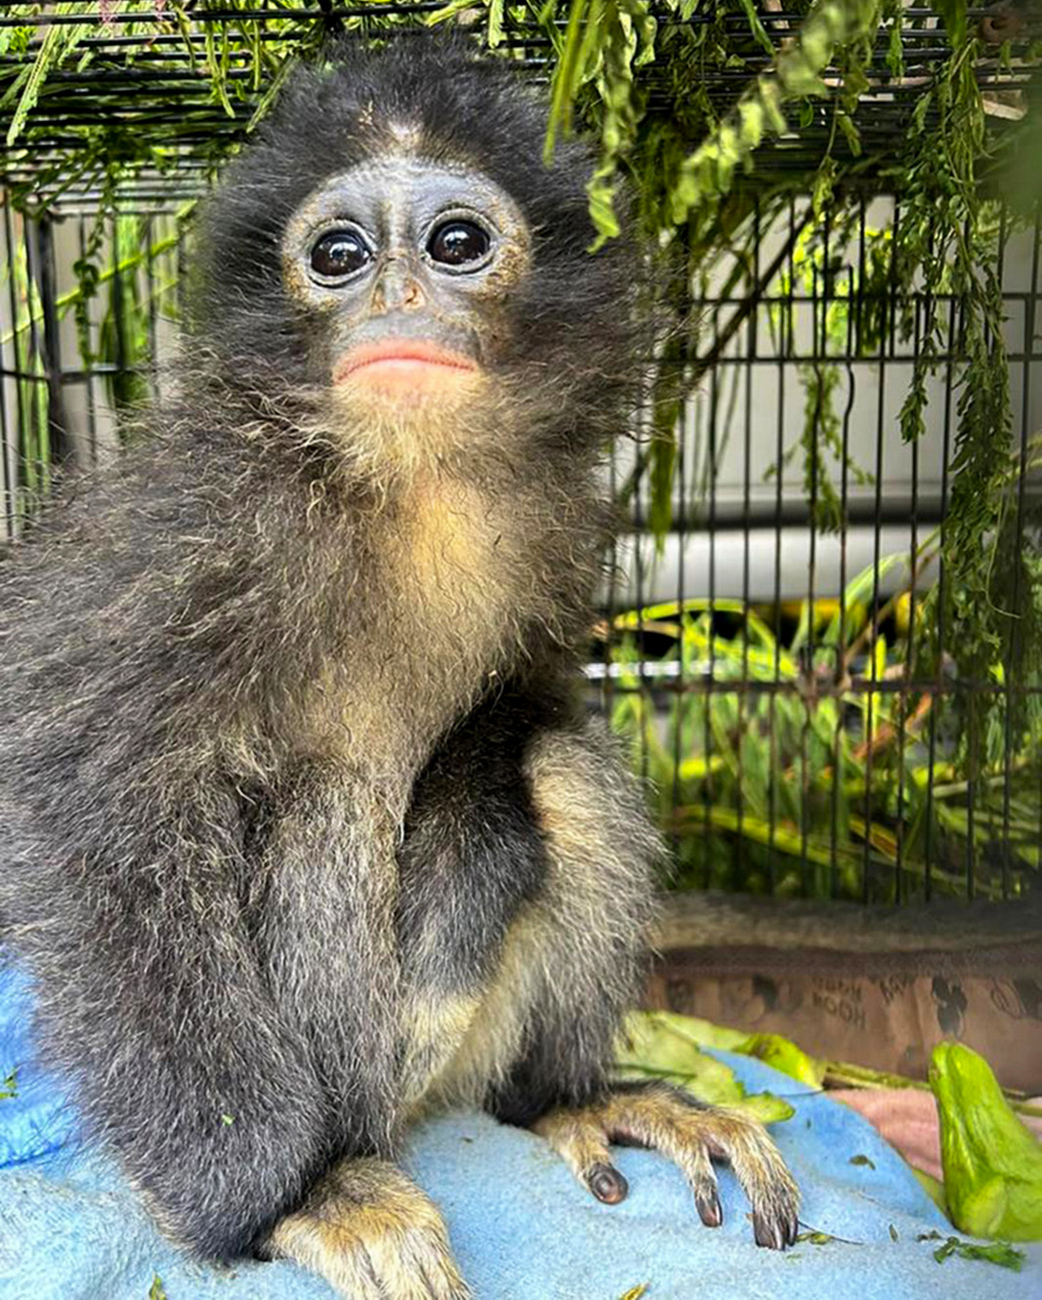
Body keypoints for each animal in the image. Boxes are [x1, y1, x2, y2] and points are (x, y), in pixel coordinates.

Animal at [0, 35, 795, 1294]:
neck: (408, 483)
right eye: (337, 256)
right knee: (323, 797)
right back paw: (341, 1167)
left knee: (561, 769)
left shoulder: (556, 519)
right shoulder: (198, 518)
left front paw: (476, 862)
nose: (394, 299)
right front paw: (284, 1195)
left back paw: (565, 1100)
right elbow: (78, 802)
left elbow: (531, 701)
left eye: (456, 242)